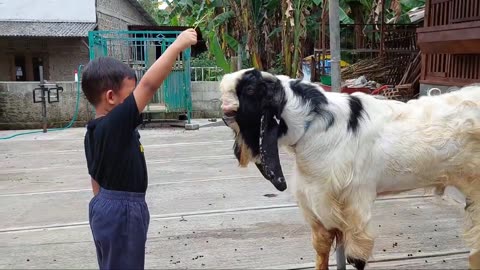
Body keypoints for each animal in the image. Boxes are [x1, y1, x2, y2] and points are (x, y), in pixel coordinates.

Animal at [219, 69, 480, 270]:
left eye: (249, 90)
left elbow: (357, 258)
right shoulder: (318, 207)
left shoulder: (354, 204)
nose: (224, 110)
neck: (313, 125)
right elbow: (322, 250)